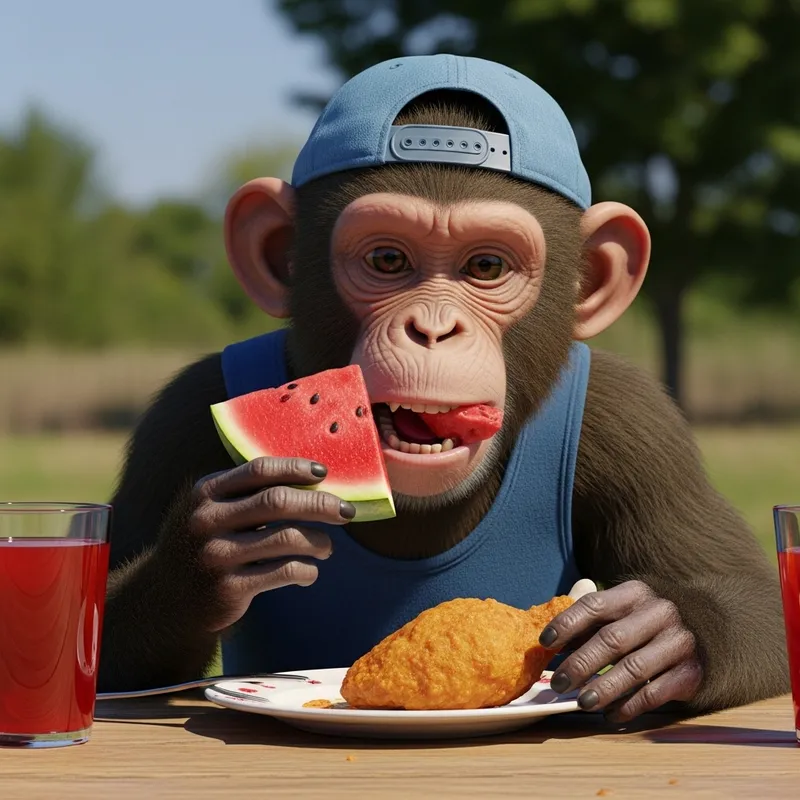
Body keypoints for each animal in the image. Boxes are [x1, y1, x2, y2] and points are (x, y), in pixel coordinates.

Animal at [98, 55, 789, 724]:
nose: (432, 326)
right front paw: (201, 560)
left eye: (486, 266)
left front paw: (660, 632)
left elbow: (761, 604)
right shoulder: (181, 414)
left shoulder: (636, 424)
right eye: (387, 261)